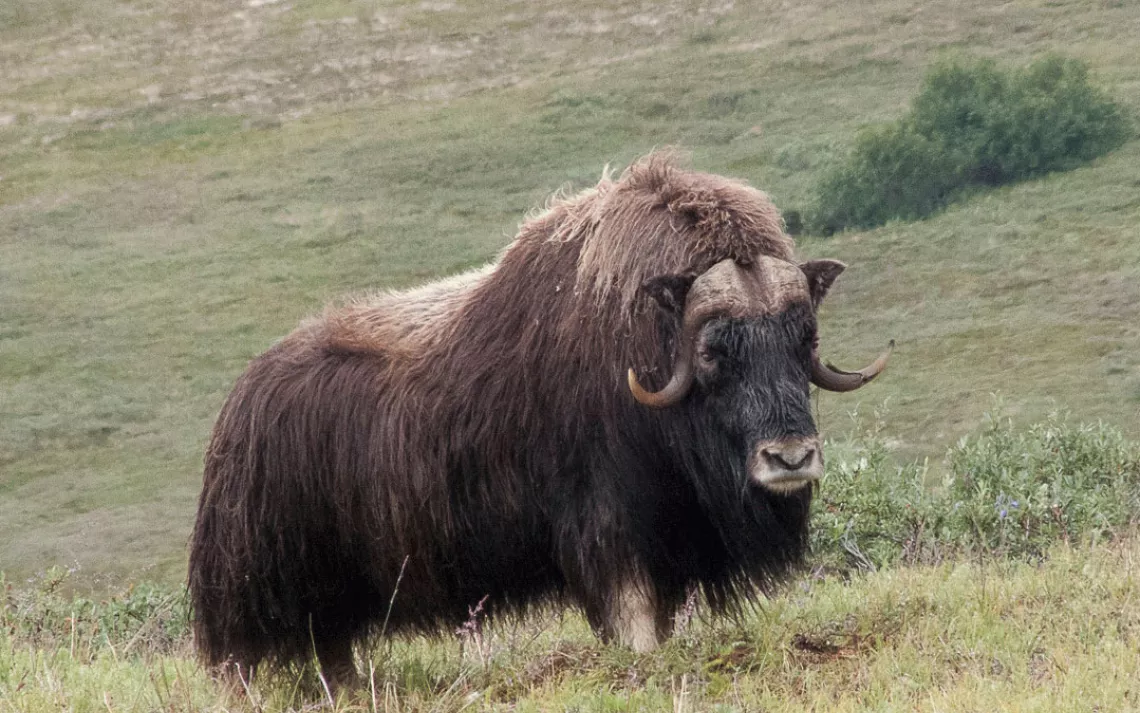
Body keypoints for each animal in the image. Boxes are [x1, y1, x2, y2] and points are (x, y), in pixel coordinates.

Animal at [188, 152, 891, 691]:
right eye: (715, 351)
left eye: (804, 338)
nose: (790, 459)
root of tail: (238, 402)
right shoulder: (607, 528)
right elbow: (632, 621)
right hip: (255, 594)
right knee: (246, 661)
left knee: (333, 650)